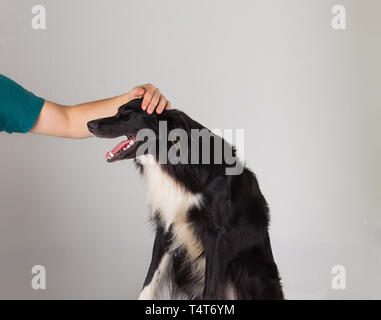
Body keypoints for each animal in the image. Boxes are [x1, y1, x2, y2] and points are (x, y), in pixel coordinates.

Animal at [87, 98, 282, 300]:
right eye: (117, 110)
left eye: (127, 113)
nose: (89, 124)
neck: (169, 159)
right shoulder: (166, 226)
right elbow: (149, 281)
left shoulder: (216, 233)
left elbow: (210, 290)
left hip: (247, 265)